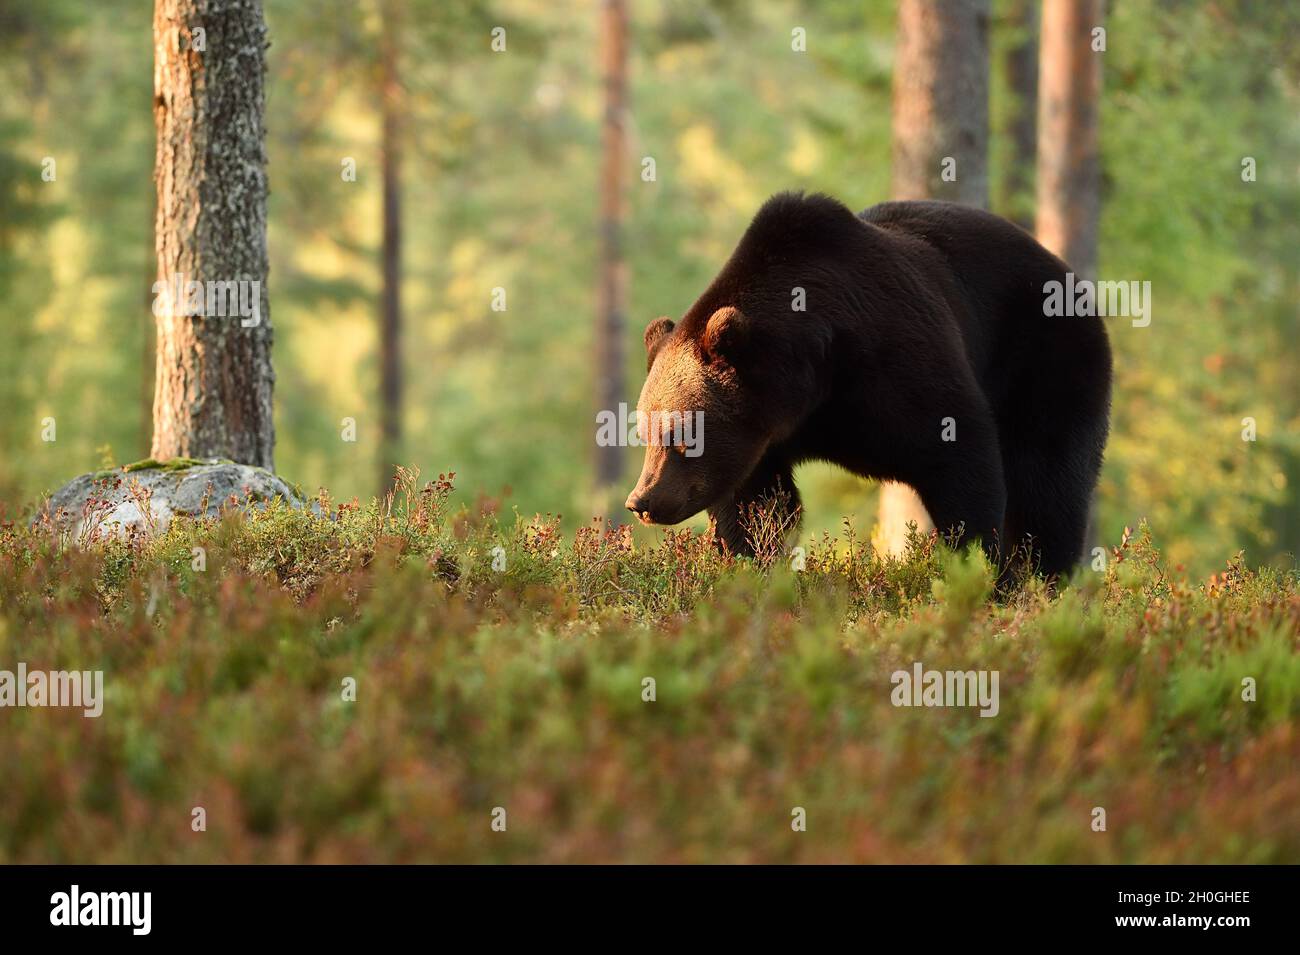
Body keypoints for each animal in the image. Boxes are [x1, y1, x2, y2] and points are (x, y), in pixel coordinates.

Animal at [624, 191, 1113, 579]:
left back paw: (1043, 578)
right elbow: (756, 505)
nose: (642, 501)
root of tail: (1068, 275)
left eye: (681, 437)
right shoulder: (765, 438)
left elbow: (963, 459)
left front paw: (981, 569)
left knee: (1048, 480)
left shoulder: (894, 363)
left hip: (1046, 360)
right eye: (645, 433)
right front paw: (752, 563)